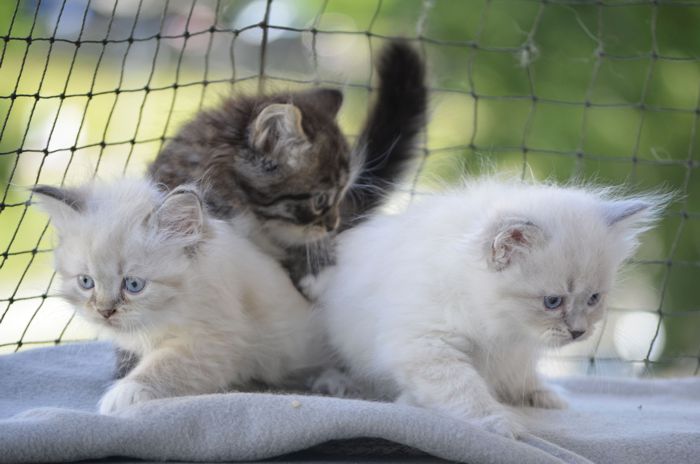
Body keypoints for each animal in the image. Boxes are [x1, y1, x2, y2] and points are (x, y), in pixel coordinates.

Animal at [32, 179, 328, 414]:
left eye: (134, 285)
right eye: (86, 282)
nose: (105, 311)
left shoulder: (215, 340)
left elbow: (165, 365)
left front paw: (123, 394)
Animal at [314, 179, 666, 438]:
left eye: (593, 299)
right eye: (553, 301)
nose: (579, 332)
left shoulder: (515, 351)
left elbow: (521, 376)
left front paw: (542, 395)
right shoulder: (425, 345)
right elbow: (463, 389)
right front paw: (498, 422)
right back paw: (338, 384)